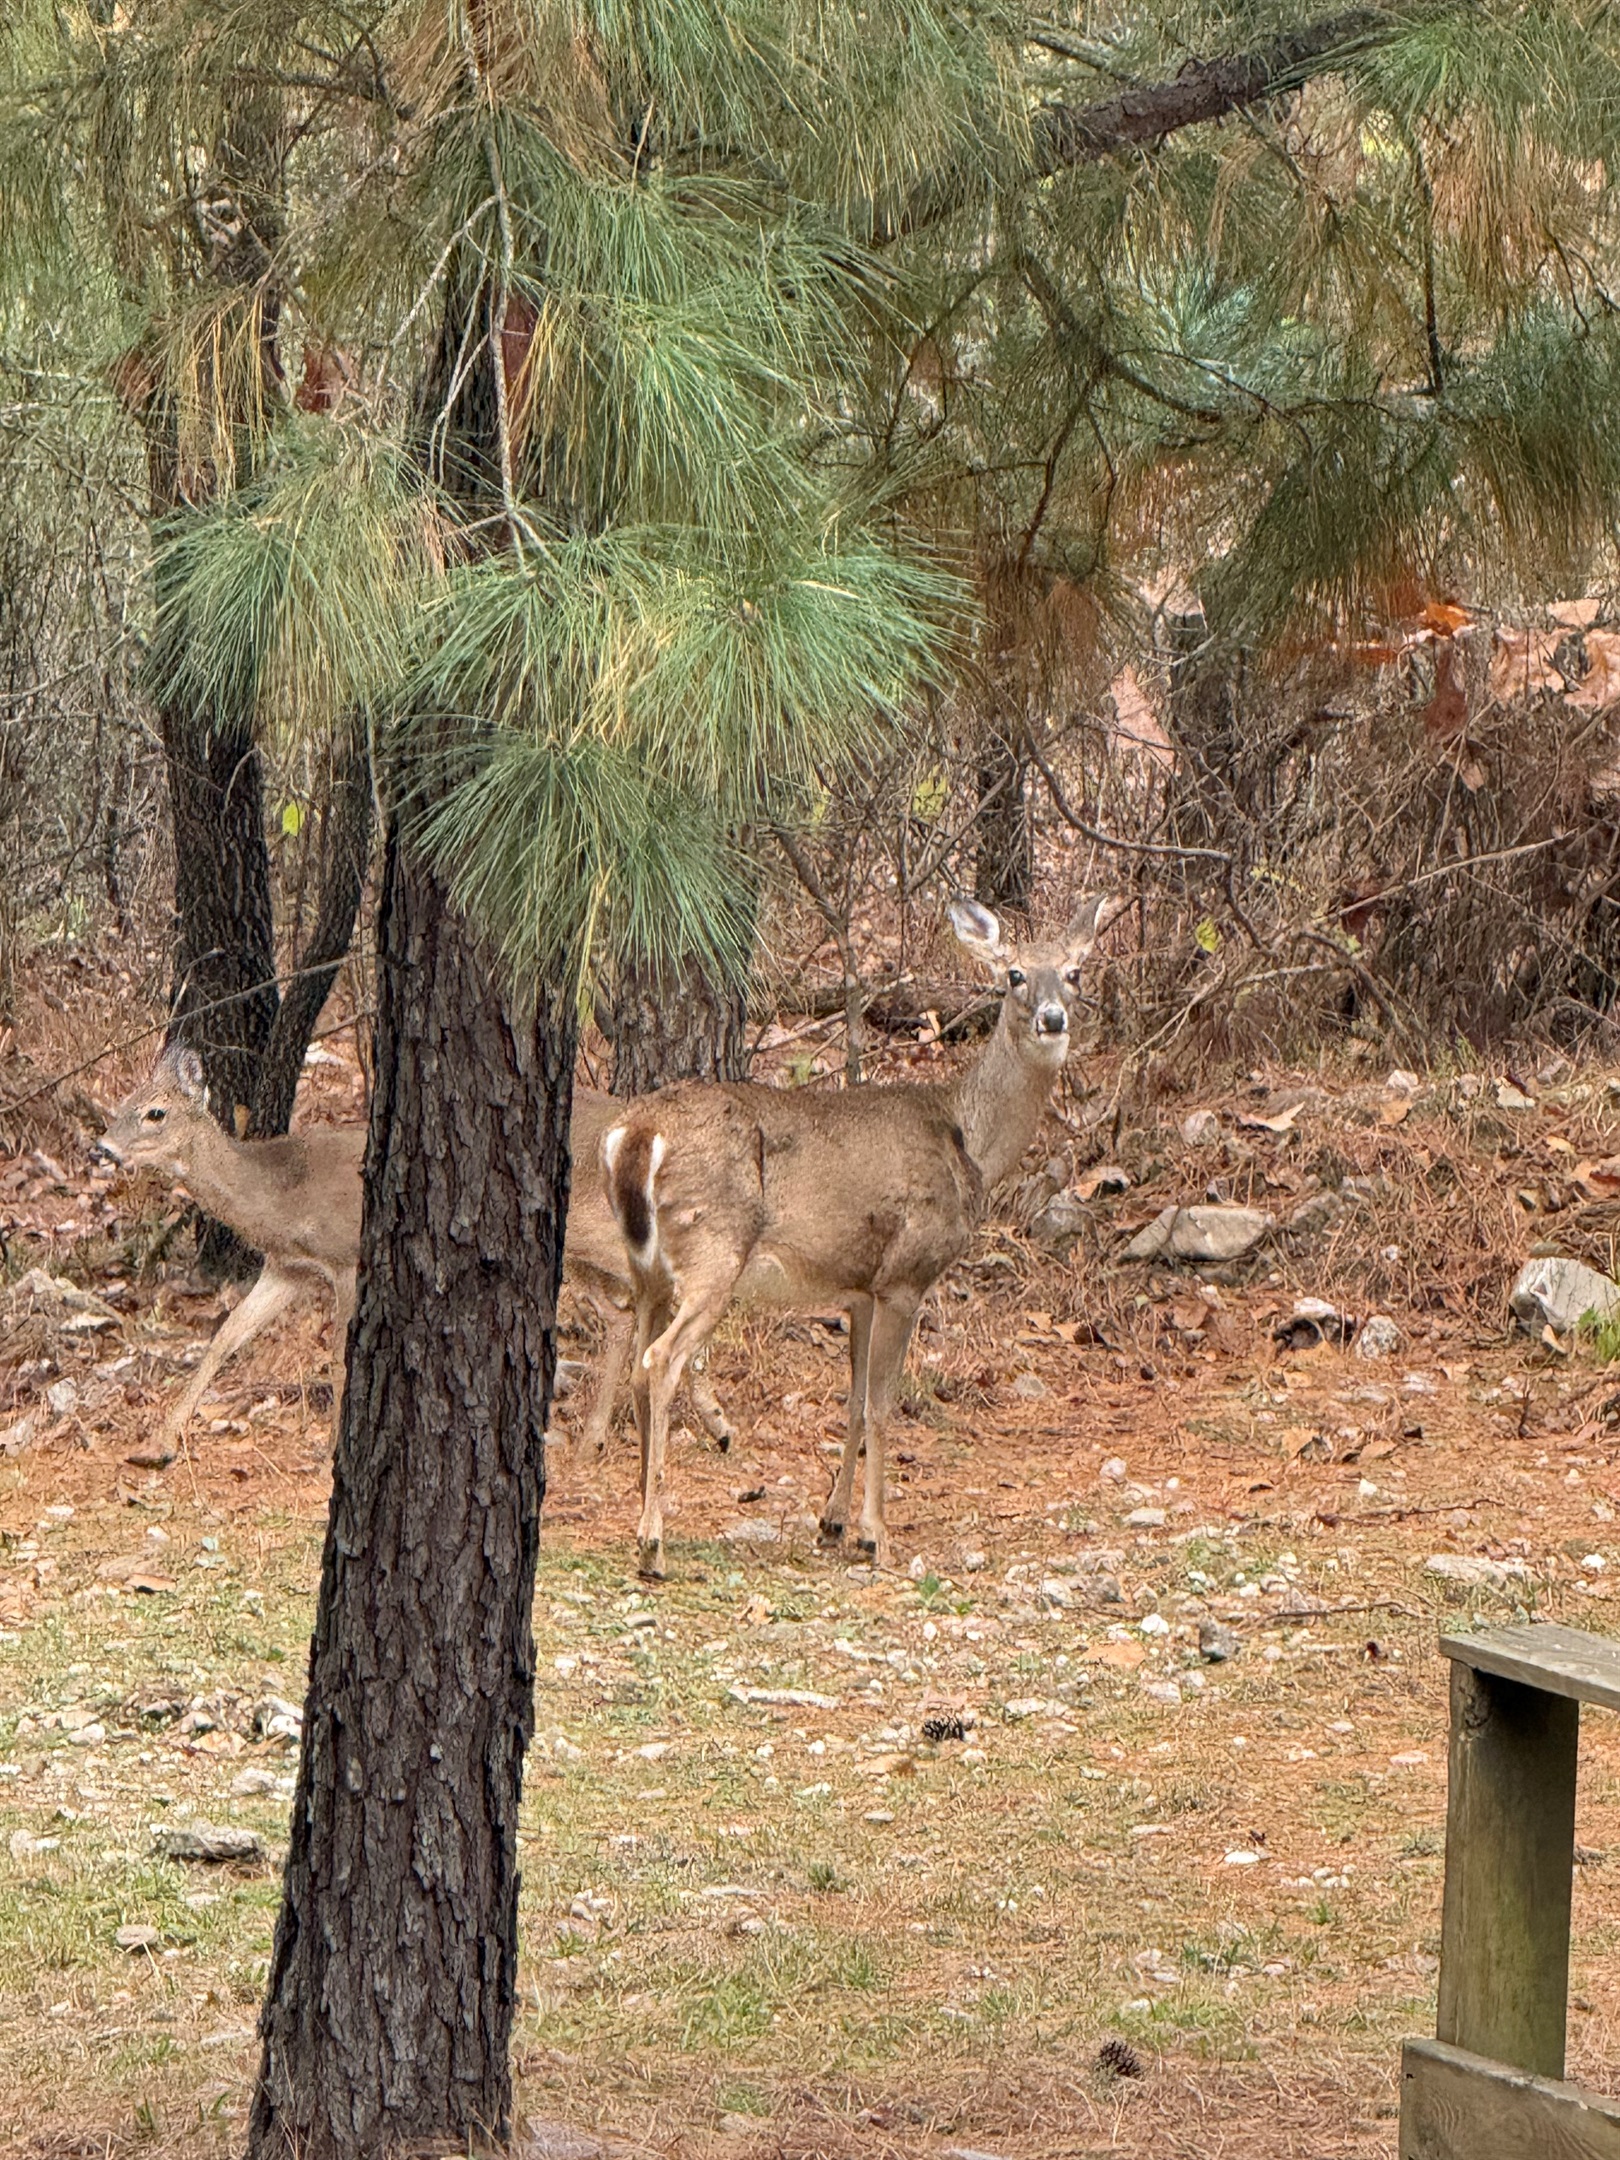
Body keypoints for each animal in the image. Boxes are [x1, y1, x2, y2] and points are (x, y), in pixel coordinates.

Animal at [98, 1045, 732, 1455]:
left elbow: (339, 1354)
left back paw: (715, 1421)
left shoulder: (345, 1258)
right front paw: (157, 1442)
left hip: (604, 1232)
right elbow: (224, 1339)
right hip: (573, 1252)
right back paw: (596, 1438)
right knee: (623, 1315)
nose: (102, 1147)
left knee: (679, 1289)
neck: (279, 1191)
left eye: (155, 1112)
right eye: (122, 1102)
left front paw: (335, 1447)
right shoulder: (288, 1269)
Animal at [603, 894, 1120, 1580]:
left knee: (639, 1365)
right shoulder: (905, 1275)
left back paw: (642, 1510)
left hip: (648, 1269)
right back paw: (653, 1543)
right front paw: (877, 1533)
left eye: (1074, 972)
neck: (968, 1139)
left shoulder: (860, 1289)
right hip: (714, 1248)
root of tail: (636, 1133)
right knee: (661, 1360)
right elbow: (881, 1403)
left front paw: (832, 1521)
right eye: (1013, 975)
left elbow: (850, 1402)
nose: (1053, 1017)